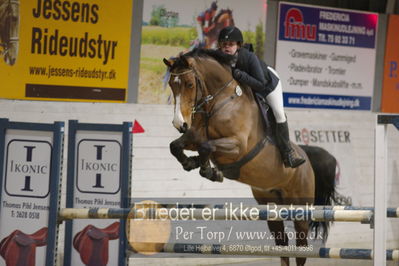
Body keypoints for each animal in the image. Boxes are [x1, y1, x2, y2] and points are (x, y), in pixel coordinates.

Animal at [164, 48, 340, 266]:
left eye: (189, 84)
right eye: (172, 85)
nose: (179, 124)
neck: (220, 101)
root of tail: (307, 159)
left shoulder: (238, 146)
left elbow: (206, 147)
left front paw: (210, 171)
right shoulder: (195, 136)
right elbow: (176, 146)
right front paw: (191, 163)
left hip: (300, 208)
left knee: (301, 248)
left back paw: (291, 158)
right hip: (272, 208)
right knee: (282, 244)